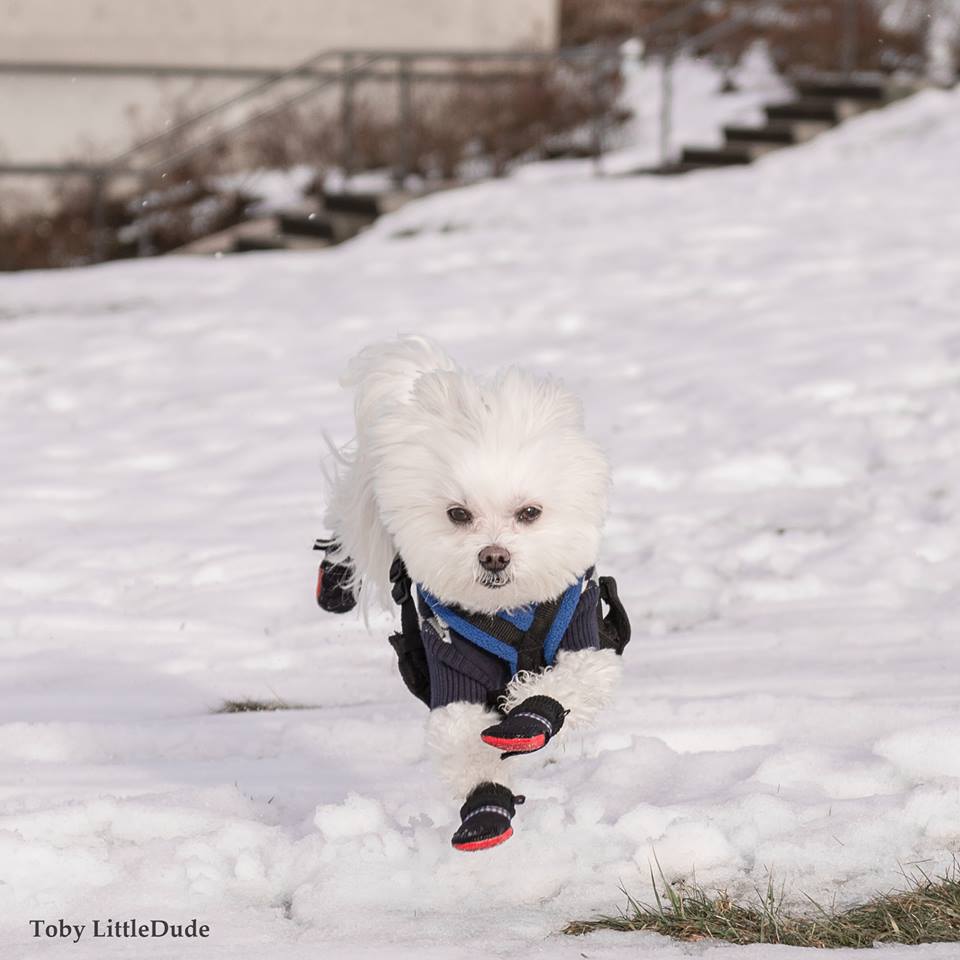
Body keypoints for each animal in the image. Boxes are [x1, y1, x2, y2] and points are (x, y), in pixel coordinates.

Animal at [322, 338, 628, 856]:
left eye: (530, 512)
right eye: (457, 514)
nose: (493, 557)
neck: (511, 611)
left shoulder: (583, 638)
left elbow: (566, 684)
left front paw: (526, 719)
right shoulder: (452, 673)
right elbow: (464, 746)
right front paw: (485, 809)